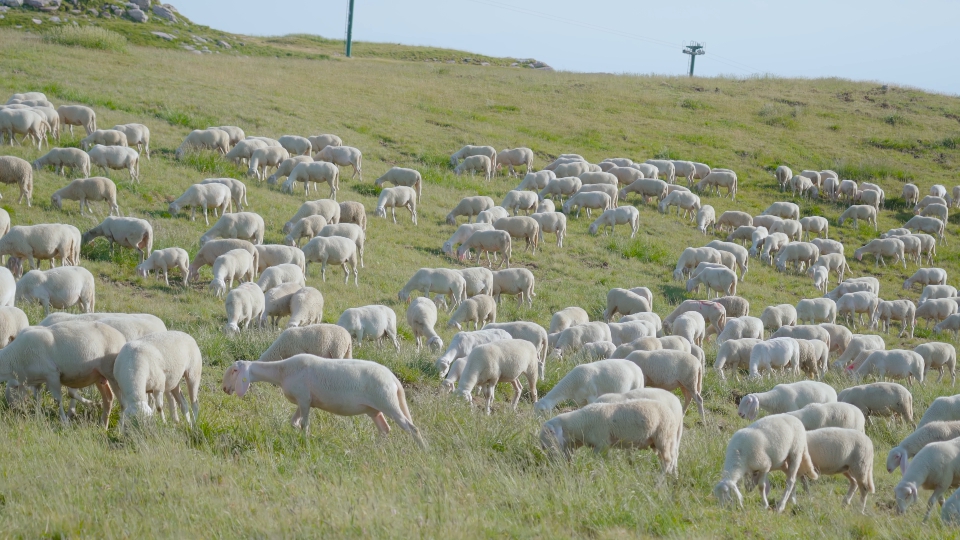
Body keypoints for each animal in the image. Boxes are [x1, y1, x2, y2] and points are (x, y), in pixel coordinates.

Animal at [222, 355, 424, 446]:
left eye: (234, 371)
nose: (224, 388)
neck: (282, 372)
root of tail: (393, 378)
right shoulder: (304, 400)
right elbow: (294, 422)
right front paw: (300, 437)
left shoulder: (304, 399)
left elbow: (304, 424)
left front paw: (305, 441)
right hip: (374, 409)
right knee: (385, 429)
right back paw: (375, 448)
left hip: (387, 401)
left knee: (411, 428)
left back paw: (423, 450)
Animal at [539, 399, 681, 475]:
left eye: (548, 432)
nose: (542, 447)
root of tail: (673, 415)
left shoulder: (601, 444)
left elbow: (599, 460)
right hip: (667, 439)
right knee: (673, 458)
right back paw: (673, 476)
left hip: (663, 436)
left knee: (667, 460)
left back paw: (660, 480)